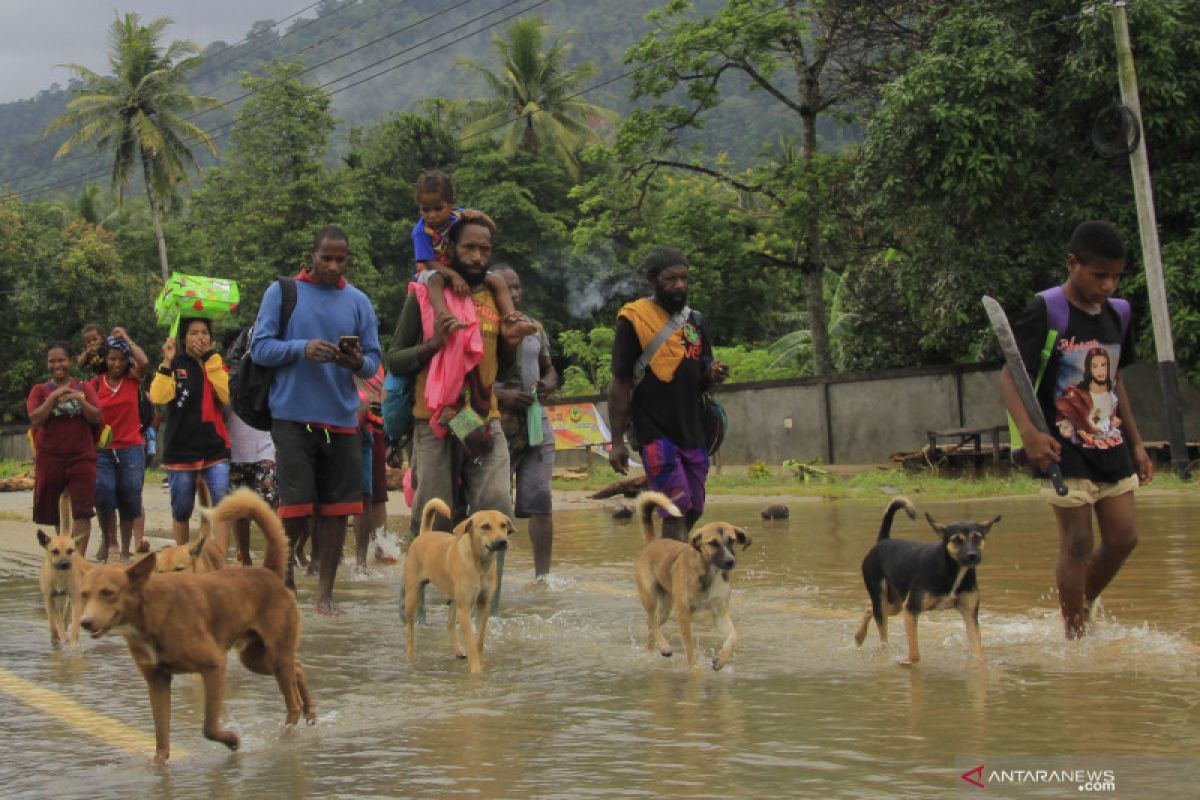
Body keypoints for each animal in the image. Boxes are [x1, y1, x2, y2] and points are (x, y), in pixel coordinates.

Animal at [76, 489, 314, 762]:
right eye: (84, 594)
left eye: (108, 592)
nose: (85, 622)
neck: (150, 613)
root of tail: (269, 572)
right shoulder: (157, 679)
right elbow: (162, 738)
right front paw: (158, 766)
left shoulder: (214, 665)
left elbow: (209, 727)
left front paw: (232, 740)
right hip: (255, 657)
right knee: (298, 668)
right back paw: (311, 714)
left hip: (275, 654)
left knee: (292, 702)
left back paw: (288, 735)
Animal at [405, 496, 513, 671]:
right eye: (485, 526)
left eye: (503, 525)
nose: (502, 542)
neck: (480, 564)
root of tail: (424, 535)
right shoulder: (465, 609)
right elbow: (471, 642)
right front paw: (476, 670)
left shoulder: (483, 604)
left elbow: (479, 639)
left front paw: (482, 661)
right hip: (413, 595)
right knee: (410, 630)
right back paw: (411, 657)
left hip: (455, 599)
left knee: (449, 624)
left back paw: (458, 650)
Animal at [628, 494, 748, 671]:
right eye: (713, 543)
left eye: (731, 540)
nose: (730, 561)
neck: (709, 573)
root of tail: (652, 543)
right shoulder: (683, 612)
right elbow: (690, 647)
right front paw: (695, 670)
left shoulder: (719, 611)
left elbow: (734, 636)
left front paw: (721, 660)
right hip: (649, 595)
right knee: (651, 621)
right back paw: (664, 647)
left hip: (666, 607)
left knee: (652, 625)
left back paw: (653, 652)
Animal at [859, 496, 998, 666]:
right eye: (956, 540)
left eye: (977, 537)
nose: (972, 556)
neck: (951, 569)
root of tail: (883, 541)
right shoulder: (910, 610)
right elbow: (914, 653)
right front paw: (905, 662)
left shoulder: (970, 614)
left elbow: (978, 652)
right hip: (883, 599)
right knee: (882, 633)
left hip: (895, 604)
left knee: (868, 607)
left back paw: (858, 637)